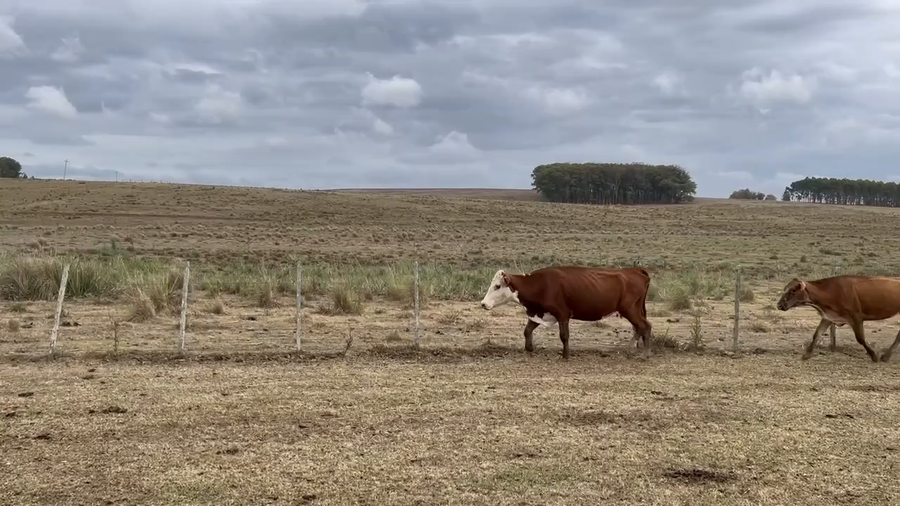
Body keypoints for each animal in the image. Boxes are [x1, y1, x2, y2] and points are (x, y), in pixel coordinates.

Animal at [479, 265, 653, 359]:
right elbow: (527, 331)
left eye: (497, 286)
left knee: (644, 326)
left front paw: (565, 355)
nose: (483, 304)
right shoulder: (539, 313)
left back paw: (643, 353)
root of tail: (635, 271)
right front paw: (529, 348)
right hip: (635, 309)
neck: (541, 284)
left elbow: (564, 336)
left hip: (629, 309)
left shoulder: (562, 314)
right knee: (642, 327)